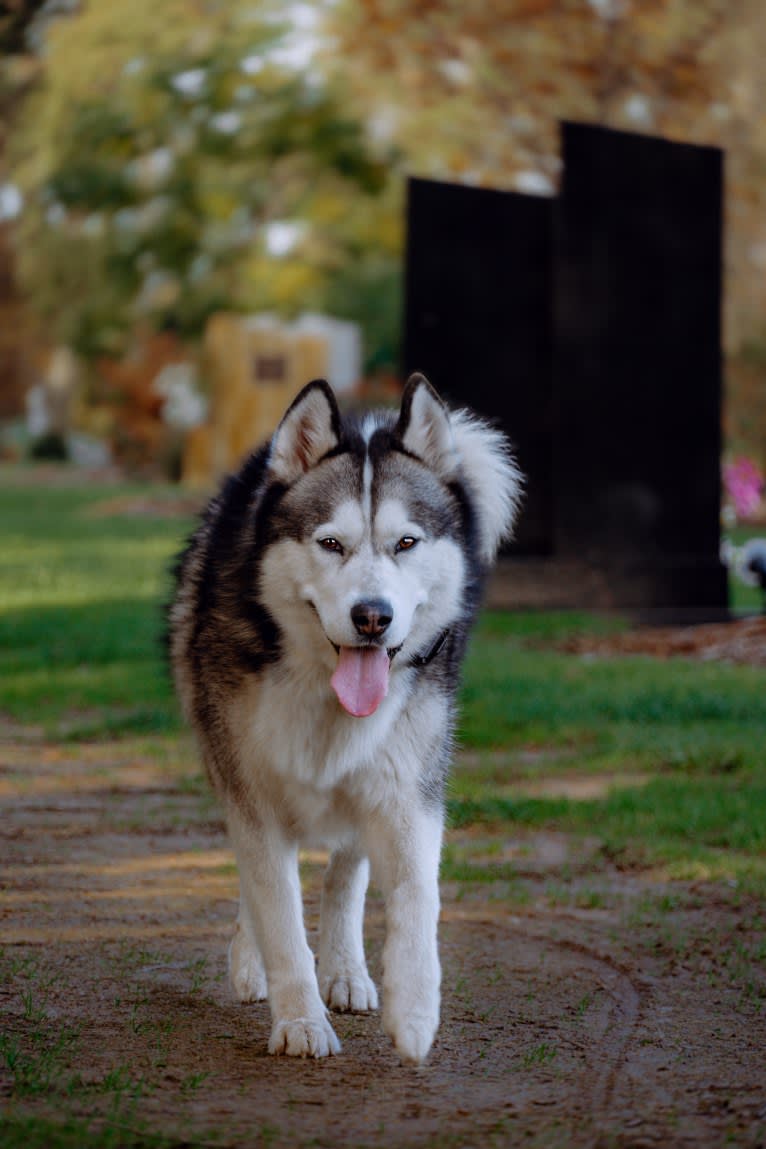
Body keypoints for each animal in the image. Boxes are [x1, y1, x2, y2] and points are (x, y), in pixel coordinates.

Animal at [167, 372, 521, 1061]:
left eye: (406, 543)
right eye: (330, 543)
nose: (372, 616)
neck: (323, 689)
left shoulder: (409, 791)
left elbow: (417, 897)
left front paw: (415, 1012)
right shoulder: (251, 793)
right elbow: (278, 914)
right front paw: (300, 1022)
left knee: (346, 872)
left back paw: (347, 971)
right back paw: (255, 962)